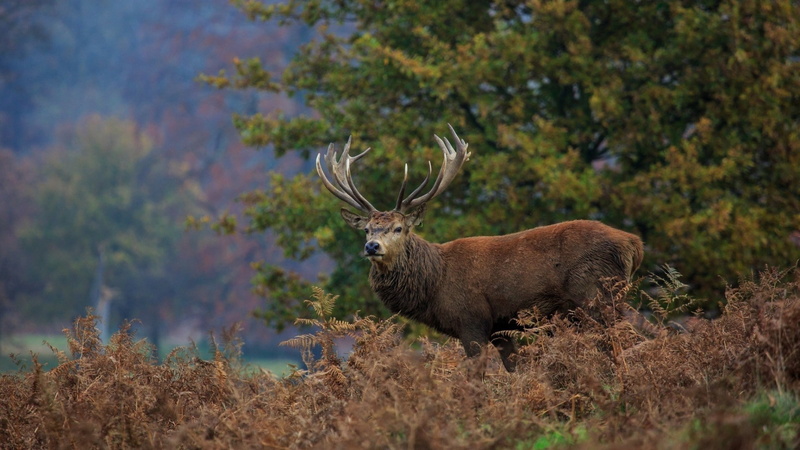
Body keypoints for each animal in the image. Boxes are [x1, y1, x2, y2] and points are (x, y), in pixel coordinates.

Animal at [315, 125, 644, 372]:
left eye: (398, 228)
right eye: (367, 229)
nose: (372, 246)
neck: (435, 284)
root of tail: (633, 244)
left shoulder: (472, 320)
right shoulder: (500, 328)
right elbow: (515, 369)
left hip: (596, 295)